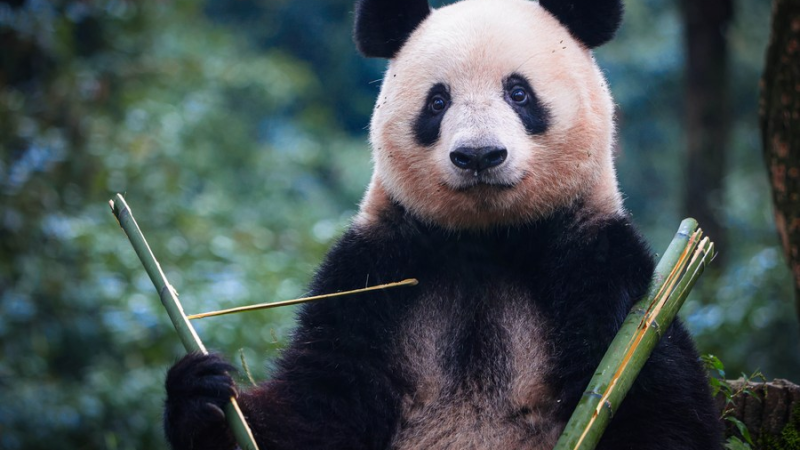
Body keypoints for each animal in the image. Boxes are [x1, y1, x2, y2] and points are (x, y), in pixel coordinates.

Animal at [164, 0, 722, 449]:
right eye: (437, 101)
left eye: (518, 93)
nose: (478, 155)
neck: (486, 240)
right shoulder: (372, 270)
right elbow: (316, 407)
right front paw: (200, 396)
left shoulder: (600, 264)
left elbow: (659, 405)